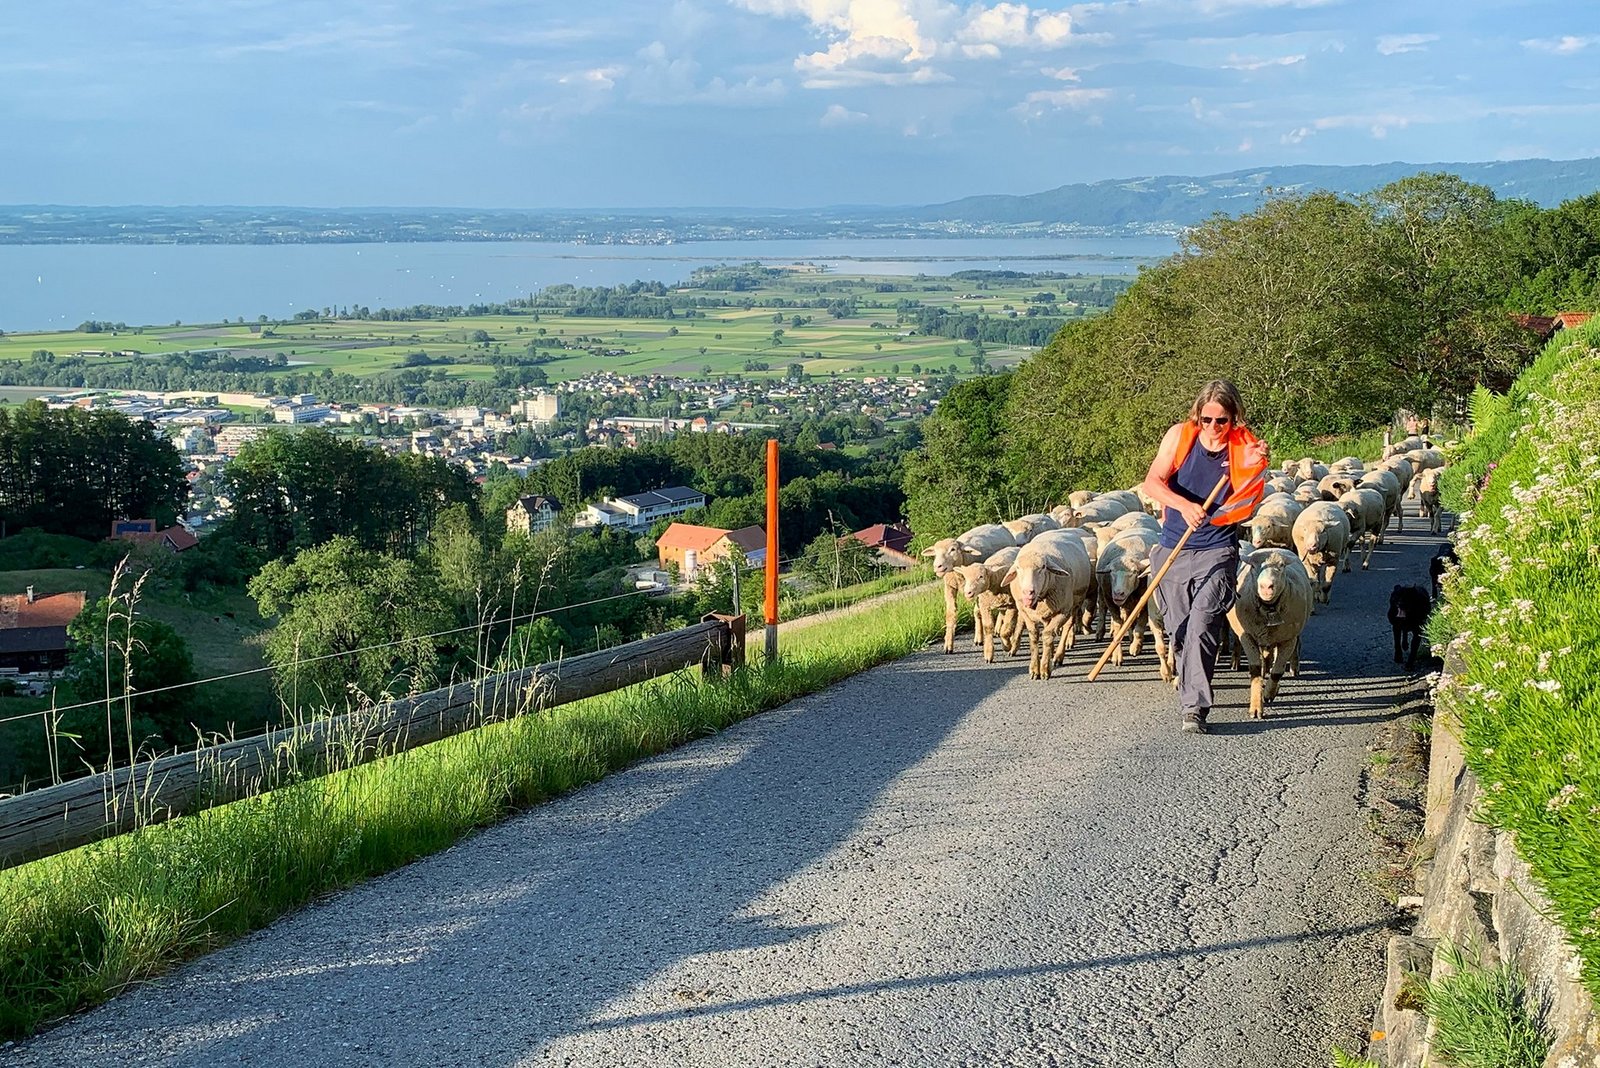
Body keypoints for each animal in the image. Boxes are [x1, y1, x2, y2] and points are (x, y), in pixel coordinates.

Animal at [924, 523, 1018, 653]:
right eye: (935, 553)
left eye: (953, 549)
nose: (938, 566)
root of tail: (997, 525)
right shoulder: (949, 587)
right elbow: (950, 614)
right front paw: (948, 644)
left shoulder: (978, 589)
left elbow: (977, 612)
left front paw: (979, 638)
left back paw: (998, 628)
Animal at [1003, 531, 1094, 680]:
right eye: (1018, 568)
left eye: (1043, 567)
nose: (1028, 592)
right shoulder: (1024, 611)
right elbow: (1034, 635)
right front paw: (1034, 669)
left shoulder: (1062, 611)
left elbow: (1047, 635)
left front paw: (1045, 669)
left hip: (1074, 603)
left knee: (1067, 626)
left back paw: (1058, 656)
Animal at [1226, 548, 1314, 718]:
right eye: (1253, 566)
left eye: (1281, 566)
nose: (1266, 586)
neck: (1269, 608)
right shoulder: (1247, 636)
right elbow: (1255, 670)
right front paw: (1255, 706)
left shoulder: (1288, 639)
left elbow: (1277, 671)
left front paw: (1268, 694)